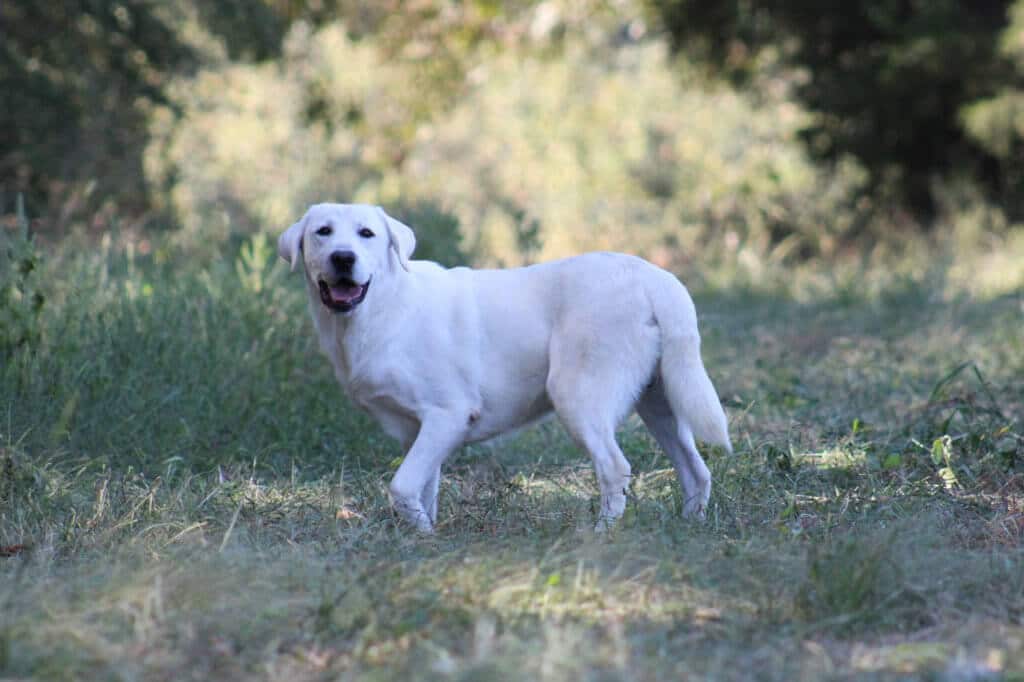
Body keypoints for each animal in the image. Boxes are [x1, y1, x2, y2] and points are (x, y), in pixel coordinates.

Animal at [280, 201, 729, 532]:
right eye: (323, 232)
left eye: (366, 234)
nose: (343, 258)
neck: (381, 307)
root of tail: (654, 278)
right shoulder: (419, 432)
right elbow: (424, 490)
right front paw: (425, 536)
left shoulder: (448, 415)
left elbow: (403, 486)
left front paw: (422, 537)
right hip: (660, 404)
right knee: (696, 471)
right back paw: (691, 527)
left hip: (578, 398)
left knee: (615, 469)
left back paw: (601, 534)